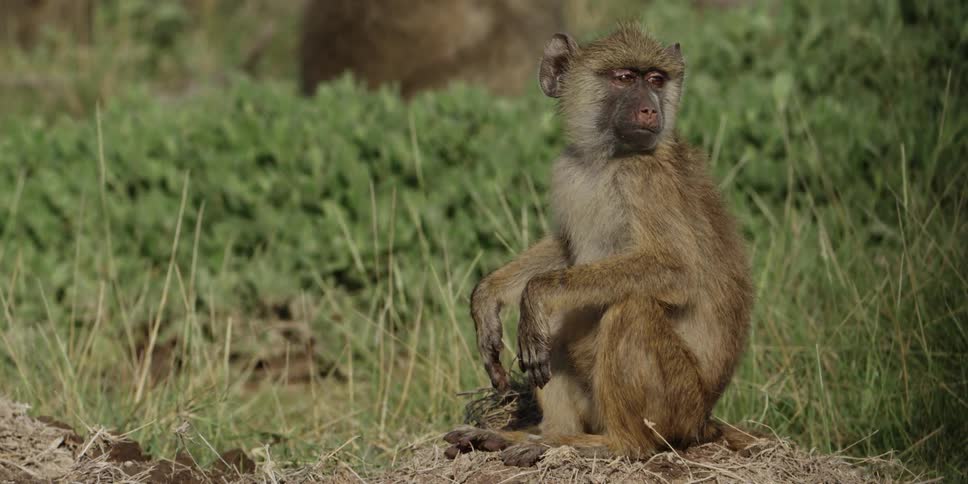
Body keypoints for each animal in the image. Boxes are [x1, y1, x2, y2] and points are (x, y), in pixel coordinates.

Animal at [443, 23, 755, 467]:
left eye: (655, 80)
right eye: (624, 78)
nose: (650, 111)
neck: (609, 160)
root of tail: (705, 421)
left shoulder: (646, 181)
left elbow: (676, 271)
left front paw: (533, 297)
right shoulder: (569, 172)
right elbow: (565, 248)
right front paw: (486, 298)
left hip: (678, 406)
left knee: (630, 308)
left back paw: (609, 444)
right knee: (558, 327)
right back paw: (534, 436)